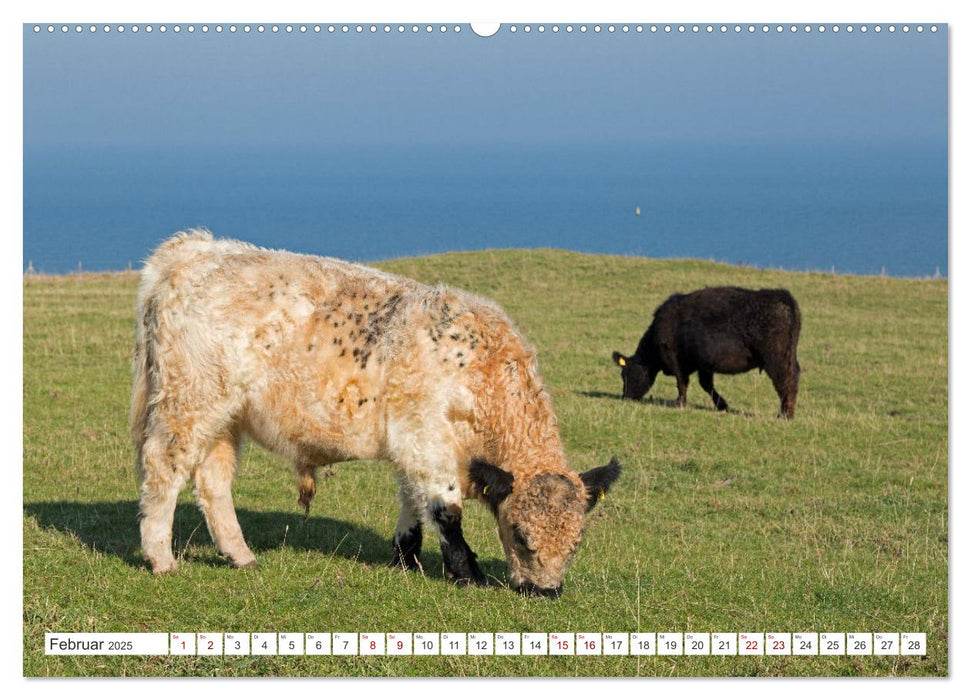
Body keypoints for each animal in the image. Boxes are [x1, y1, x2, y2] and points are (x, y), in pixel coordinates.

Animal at [131, 231, 624, 596]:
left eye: (577, 540)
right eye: (521, 534)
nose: (547, 591)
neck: (481, 369)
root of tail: (193, 249)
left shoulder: (410, 445)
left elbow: (412, 502)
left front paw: (405, 557)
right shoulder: (428, 443)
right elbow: (446, 510)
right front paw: (467, 572)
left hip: (226, 418)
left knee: (212, 480)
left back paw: (240, 555)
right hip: (189, 401)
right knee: (164, 467)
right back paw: (161, 558)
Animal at [612, 288, 800, 418]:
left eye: (627, 374)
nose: (626, 397)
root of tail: (781, 296)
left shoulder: (675, 359)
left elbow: (682, 382)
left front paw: (680, 403)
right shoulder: (704, 364)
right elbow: (706, 385)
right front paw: (722, 405)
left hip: (776, 359)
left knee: (786, 382)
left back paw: (785, 415)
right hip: (789, 356)